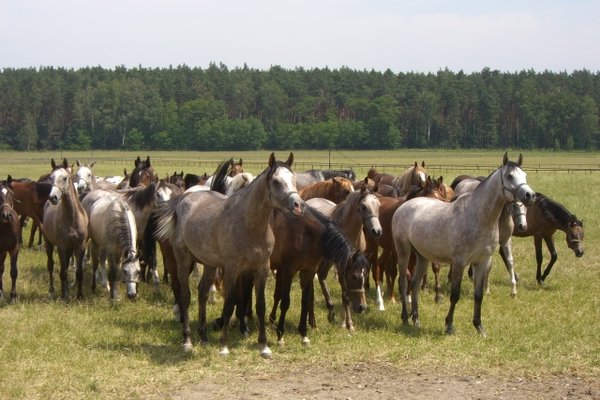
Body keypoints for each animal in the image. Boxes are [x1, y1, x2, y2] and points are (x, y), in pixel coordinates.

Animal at [43, 158, 88, 298]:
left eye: (64, 177)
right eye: (51, 177)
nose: (53, 197)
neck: (72, 219)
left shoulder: (80, 246)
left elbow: (79, 272)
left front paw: (79, 295)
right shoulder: (62, 247)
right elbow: (63, 272)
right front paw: (65, 295)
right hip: (49, 243)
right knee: (51, 265)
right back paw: (52, 289)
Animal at [155, 152, 304, 356]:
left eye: (294, 179)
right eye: (276, 181)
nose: (298, 206)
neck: (249, 224)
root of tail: (183, 200)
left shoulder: (261, 269)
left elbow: (260, 306)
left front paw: (264, 345)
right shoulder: (232, 269)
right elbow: (229, 304)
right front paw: (224, 346)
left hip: (210, 263)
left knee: (202, 292)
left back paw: (203, 336)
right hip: (183, 259)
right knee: (185, 295)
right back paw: (187, 340)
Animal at [392, 155, 536, 336]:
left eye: (525, 175)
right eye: (510, 176)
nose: (530, 195)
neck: (478, 217)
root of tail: (403, 206)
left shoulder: (482, 262)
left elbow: (479, 295)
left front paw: (479, 327)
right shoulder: (459, 263)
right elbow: (455, 295)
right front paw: (449, 325)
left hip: (422, 256)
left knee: (416, 284)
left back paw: (416, 319)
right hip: (404, 252)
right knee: (404, 282)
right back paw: (405, 317)